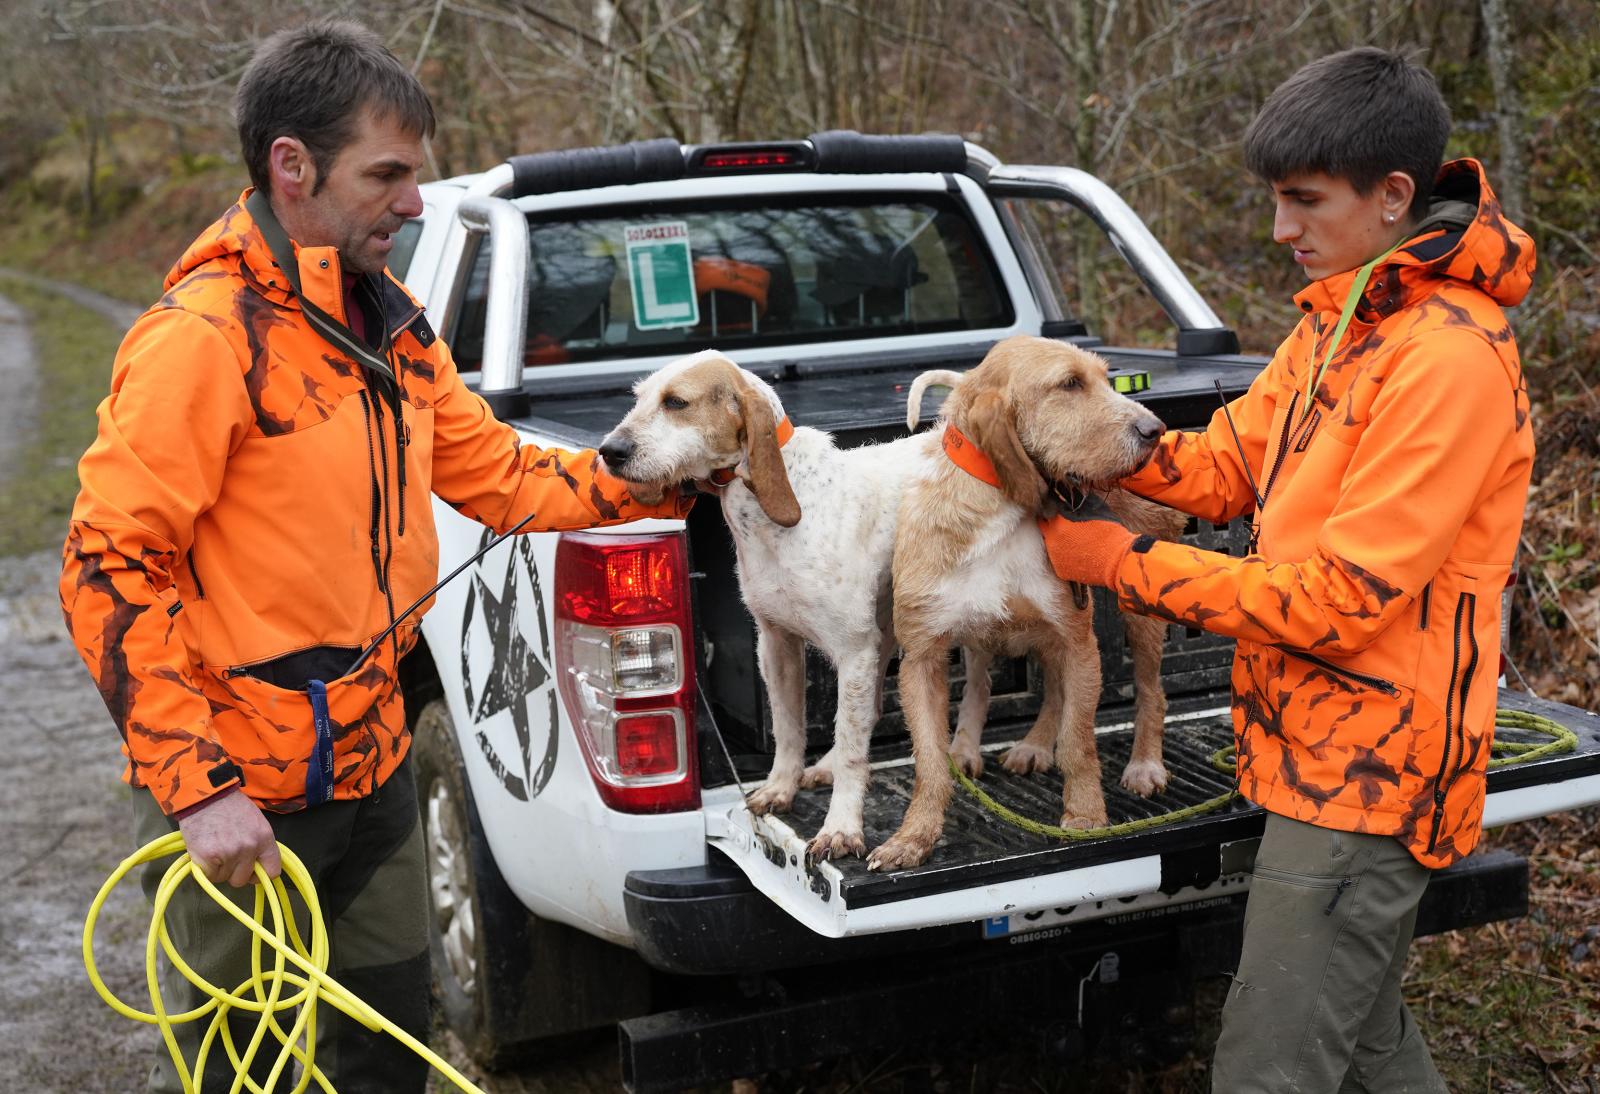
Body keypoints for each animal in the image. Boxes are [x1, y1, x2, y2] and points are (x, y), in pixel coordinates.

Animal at [876, 332, 1190, 870]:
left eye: (1106, 379)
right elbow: (929, 763)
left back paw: (1144, 763)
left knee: (1151, 691)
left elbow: (1080, 744)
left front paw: (1085, 815)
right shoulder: (921, 660)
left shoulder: (1079, 640)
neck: (999, 507)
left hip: (1138, 612)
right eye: (1069, 384)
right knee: (1042, 689)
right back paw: (1034, 743)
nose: (1156, 431)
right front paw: (913, 837)